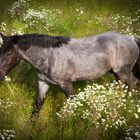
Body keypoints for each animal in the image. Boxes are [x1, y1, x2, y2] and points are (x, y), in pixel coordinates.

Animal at [0, 31, 140, 111]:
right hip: (118, 75)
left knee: (135, 85)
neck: (49, 56)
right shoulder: (43, 83)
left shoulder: (66, 84)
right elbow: (38, 106)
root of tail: (132, 38)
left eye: (9, 53)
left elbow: (73, 105)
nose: (0, 76)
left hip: (124, 72)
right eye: (1, 50)